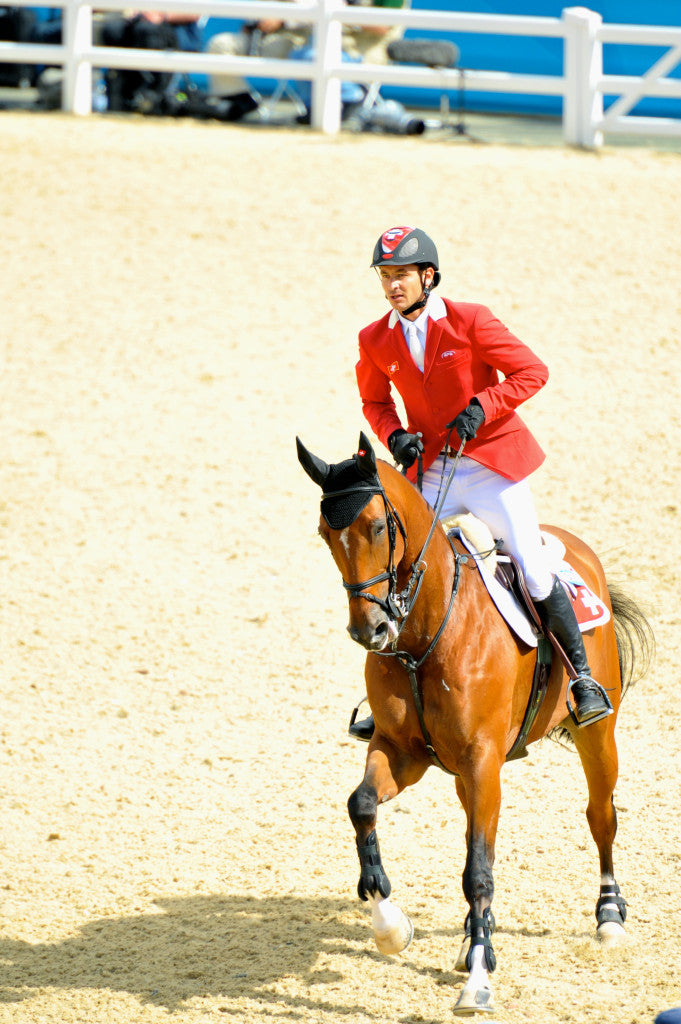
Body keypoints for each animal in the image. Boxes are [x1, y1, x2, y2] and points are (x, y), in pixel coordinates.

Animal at [294, 432, 651, 1015]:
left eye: (377, 526)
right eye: (325, 534)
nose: (370, 631)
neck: (423, 633)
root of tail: (575, 547)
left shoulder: (484, 761)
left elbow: (479, 871)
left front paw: (479, 980)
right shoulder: (401, 750)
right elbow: (362, 805)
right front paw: (390, 925)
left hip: (595, 733)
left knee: (601, 816)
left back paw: (609, 917)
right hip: (465, 771)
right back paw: (469, 936)